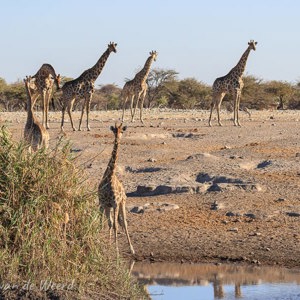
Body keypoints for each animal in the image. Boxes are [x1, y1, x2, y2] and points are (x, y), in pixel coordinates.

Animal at [98, 123, 135, 254]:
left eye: (122, 131)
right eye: (114, 131)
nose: (118, 138)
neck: (109, 178)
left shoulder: (114, 203)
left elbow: (116, 225)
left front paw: (117, 250)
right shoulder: (104, 203)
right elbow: (107, 224)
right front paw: (107, 246)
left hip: (122, 203)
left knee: (124, 223)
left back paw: (132, 249)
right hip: (109, 206)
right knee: (112, 222)